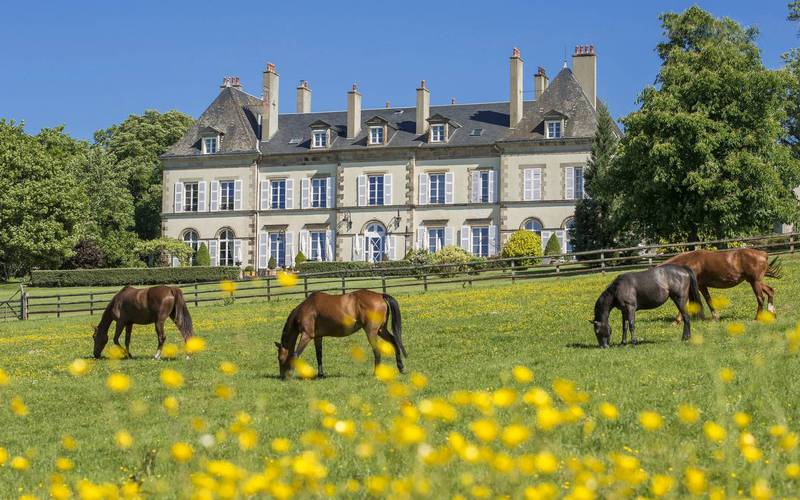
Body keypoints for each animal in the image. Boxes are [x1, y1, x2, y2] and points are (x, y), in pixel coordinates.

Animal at [278, 290, 406, 378]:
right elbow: (319, 355)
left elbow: (295, 354)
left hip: (371, 332)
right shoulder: (318, 337)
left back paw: (376, 373)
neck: (307, 308)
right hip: (381, 330)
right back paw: (401, 368)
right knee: (394, 341)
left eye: (279, 358)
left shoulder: (306, 335)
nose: (281, 377)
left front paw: (290, 374)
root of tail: (380, 295)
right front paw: (321, 374)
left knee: (377, 351)